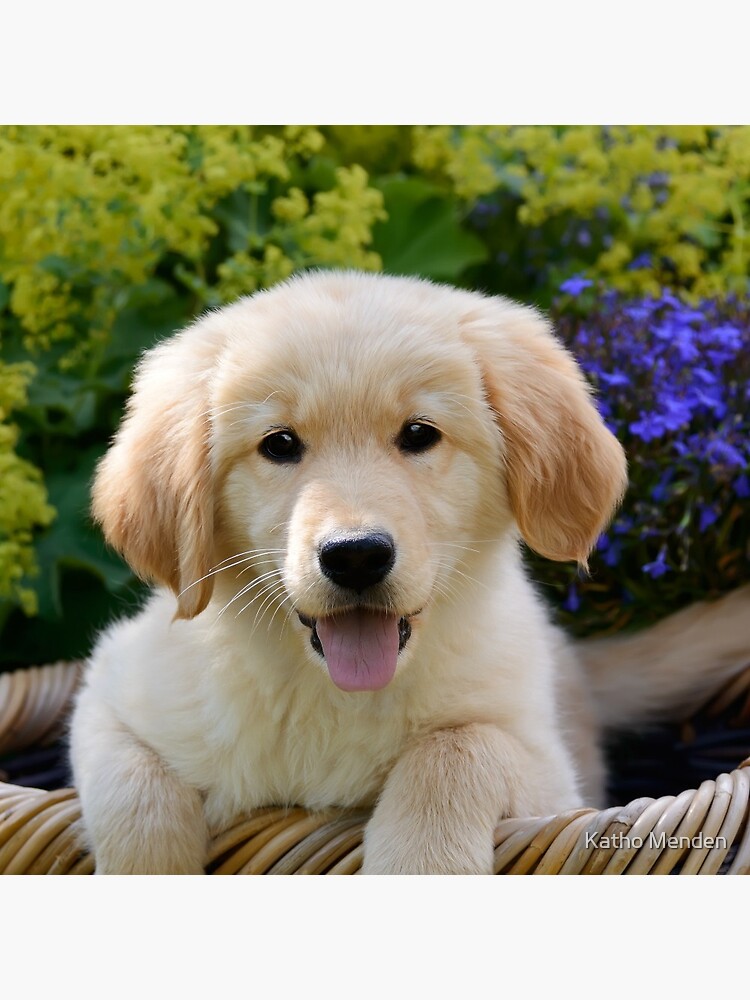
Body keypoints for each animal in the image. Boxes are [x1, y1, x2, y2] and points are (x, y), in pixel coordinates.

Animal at [67, 274, 744, 876]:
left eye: (419, 434)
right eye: (279, 444)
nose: (355, 555)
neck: (335, 697)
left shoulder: (554, 783)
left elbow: (457, 747)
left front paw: (421, 861)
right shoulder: (108, 693)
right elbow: (134, 790)